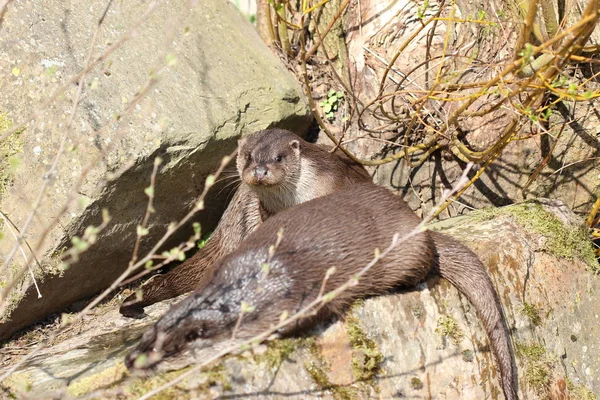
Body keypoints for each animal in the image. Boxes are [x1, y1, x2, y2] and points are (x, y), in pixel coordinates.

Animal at [125, 183, 516, 398]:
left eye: (164, 351)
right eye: (145, 339)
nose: (130, 362)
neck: (245, 286)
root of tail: (419, 225)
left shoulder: (296, 296)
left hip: (408, 253)